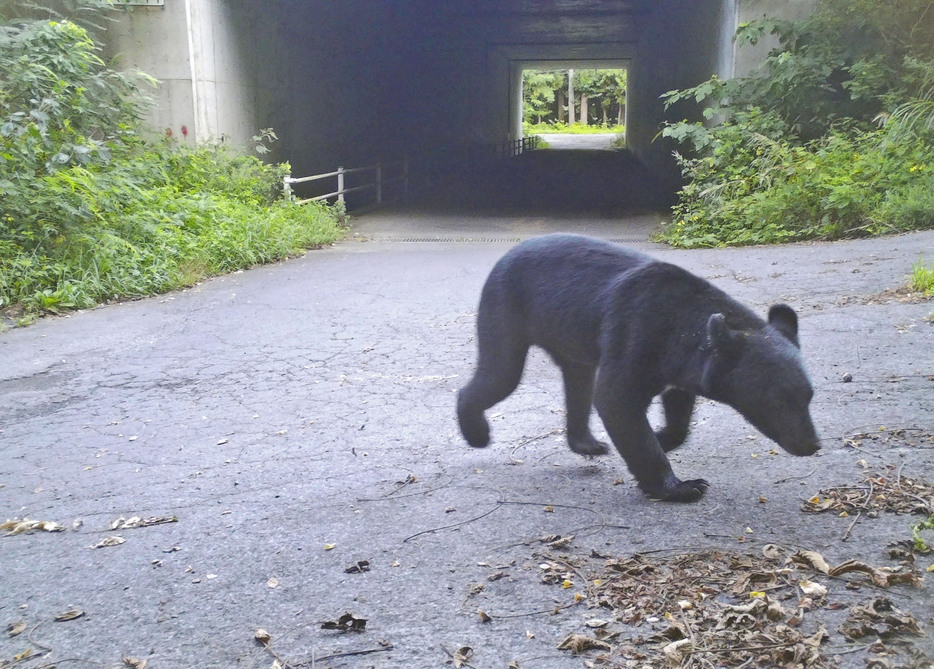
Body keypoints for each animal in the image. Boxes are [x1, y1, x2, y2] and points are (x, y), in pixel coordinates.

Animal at [458, 235, 820, 500]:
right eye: (776, 400)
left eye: (808, 396)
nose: (812, 444)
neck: (683, 330)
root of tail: (507, 254)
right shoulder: (637, 335)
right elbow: (616, 398)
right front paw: (683, 486)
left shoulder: (681, 367)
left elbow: (678, 409)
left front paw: (662, 436)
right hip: (506, 311)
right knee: (500, 373)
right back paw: (477, 432)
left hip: (572, 338)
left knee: (578, 383)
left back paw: (587, 443)